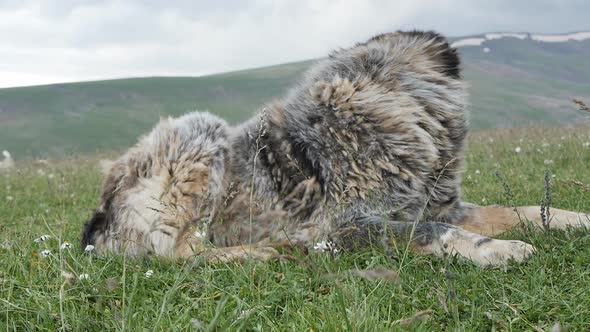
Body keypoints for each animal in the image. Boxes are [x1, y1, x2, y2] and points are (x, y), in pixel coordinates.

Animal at [81, 30, 588, 264]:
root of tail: (100, 213)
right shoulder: (349, 224)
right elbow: (436, 232)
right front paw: (499, 249)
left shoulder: (440, 205)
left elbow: (527, 209)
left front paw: (575, 219)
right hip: (201, 134)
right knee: (179, 253)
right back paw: (264, 253)